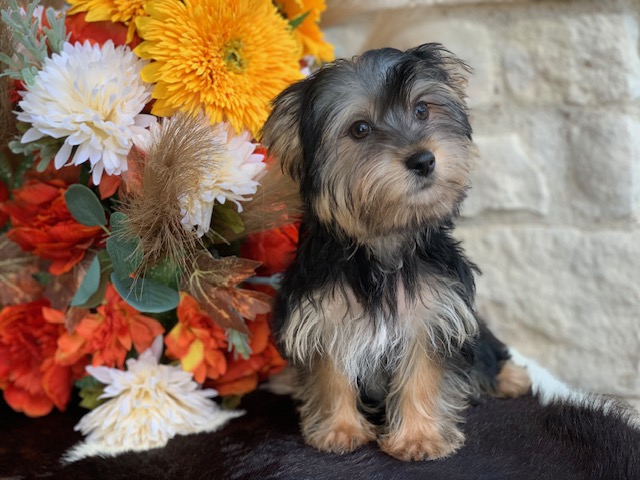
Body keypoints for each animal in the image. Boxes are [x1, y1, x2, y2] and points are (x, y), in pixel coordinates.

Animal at [260, 44, 528, 462]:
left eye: (421, 110)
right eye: (360, 129)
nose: (423, 159)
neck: (384, 246)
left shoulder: (434, 311)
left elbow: (422, 374)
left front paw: (418, 437)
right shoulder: (325, 314)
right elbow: (330, 370)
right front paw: (339, 430)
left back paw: (510, 376)